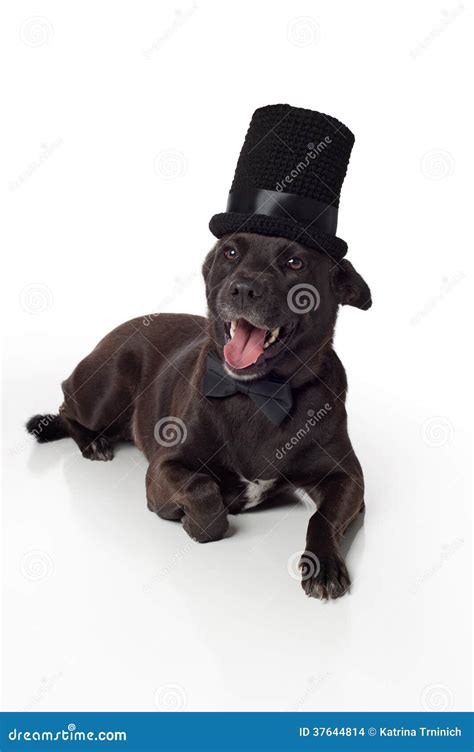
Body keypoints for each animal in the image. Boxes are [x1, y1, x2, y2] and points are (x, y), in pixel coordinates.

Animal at [27, 234, 372, 600]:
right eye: (230, 252)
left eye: (296, 263)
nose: (243, 289)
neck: (259, 393)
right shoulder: (163, 467)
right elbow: (202, 490)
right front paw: (190, 520)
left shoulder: (348, 478)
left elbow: (323, 518)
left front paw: (324, 565)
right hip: (105, 390)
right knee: (66, 404)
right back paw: (93, 442)